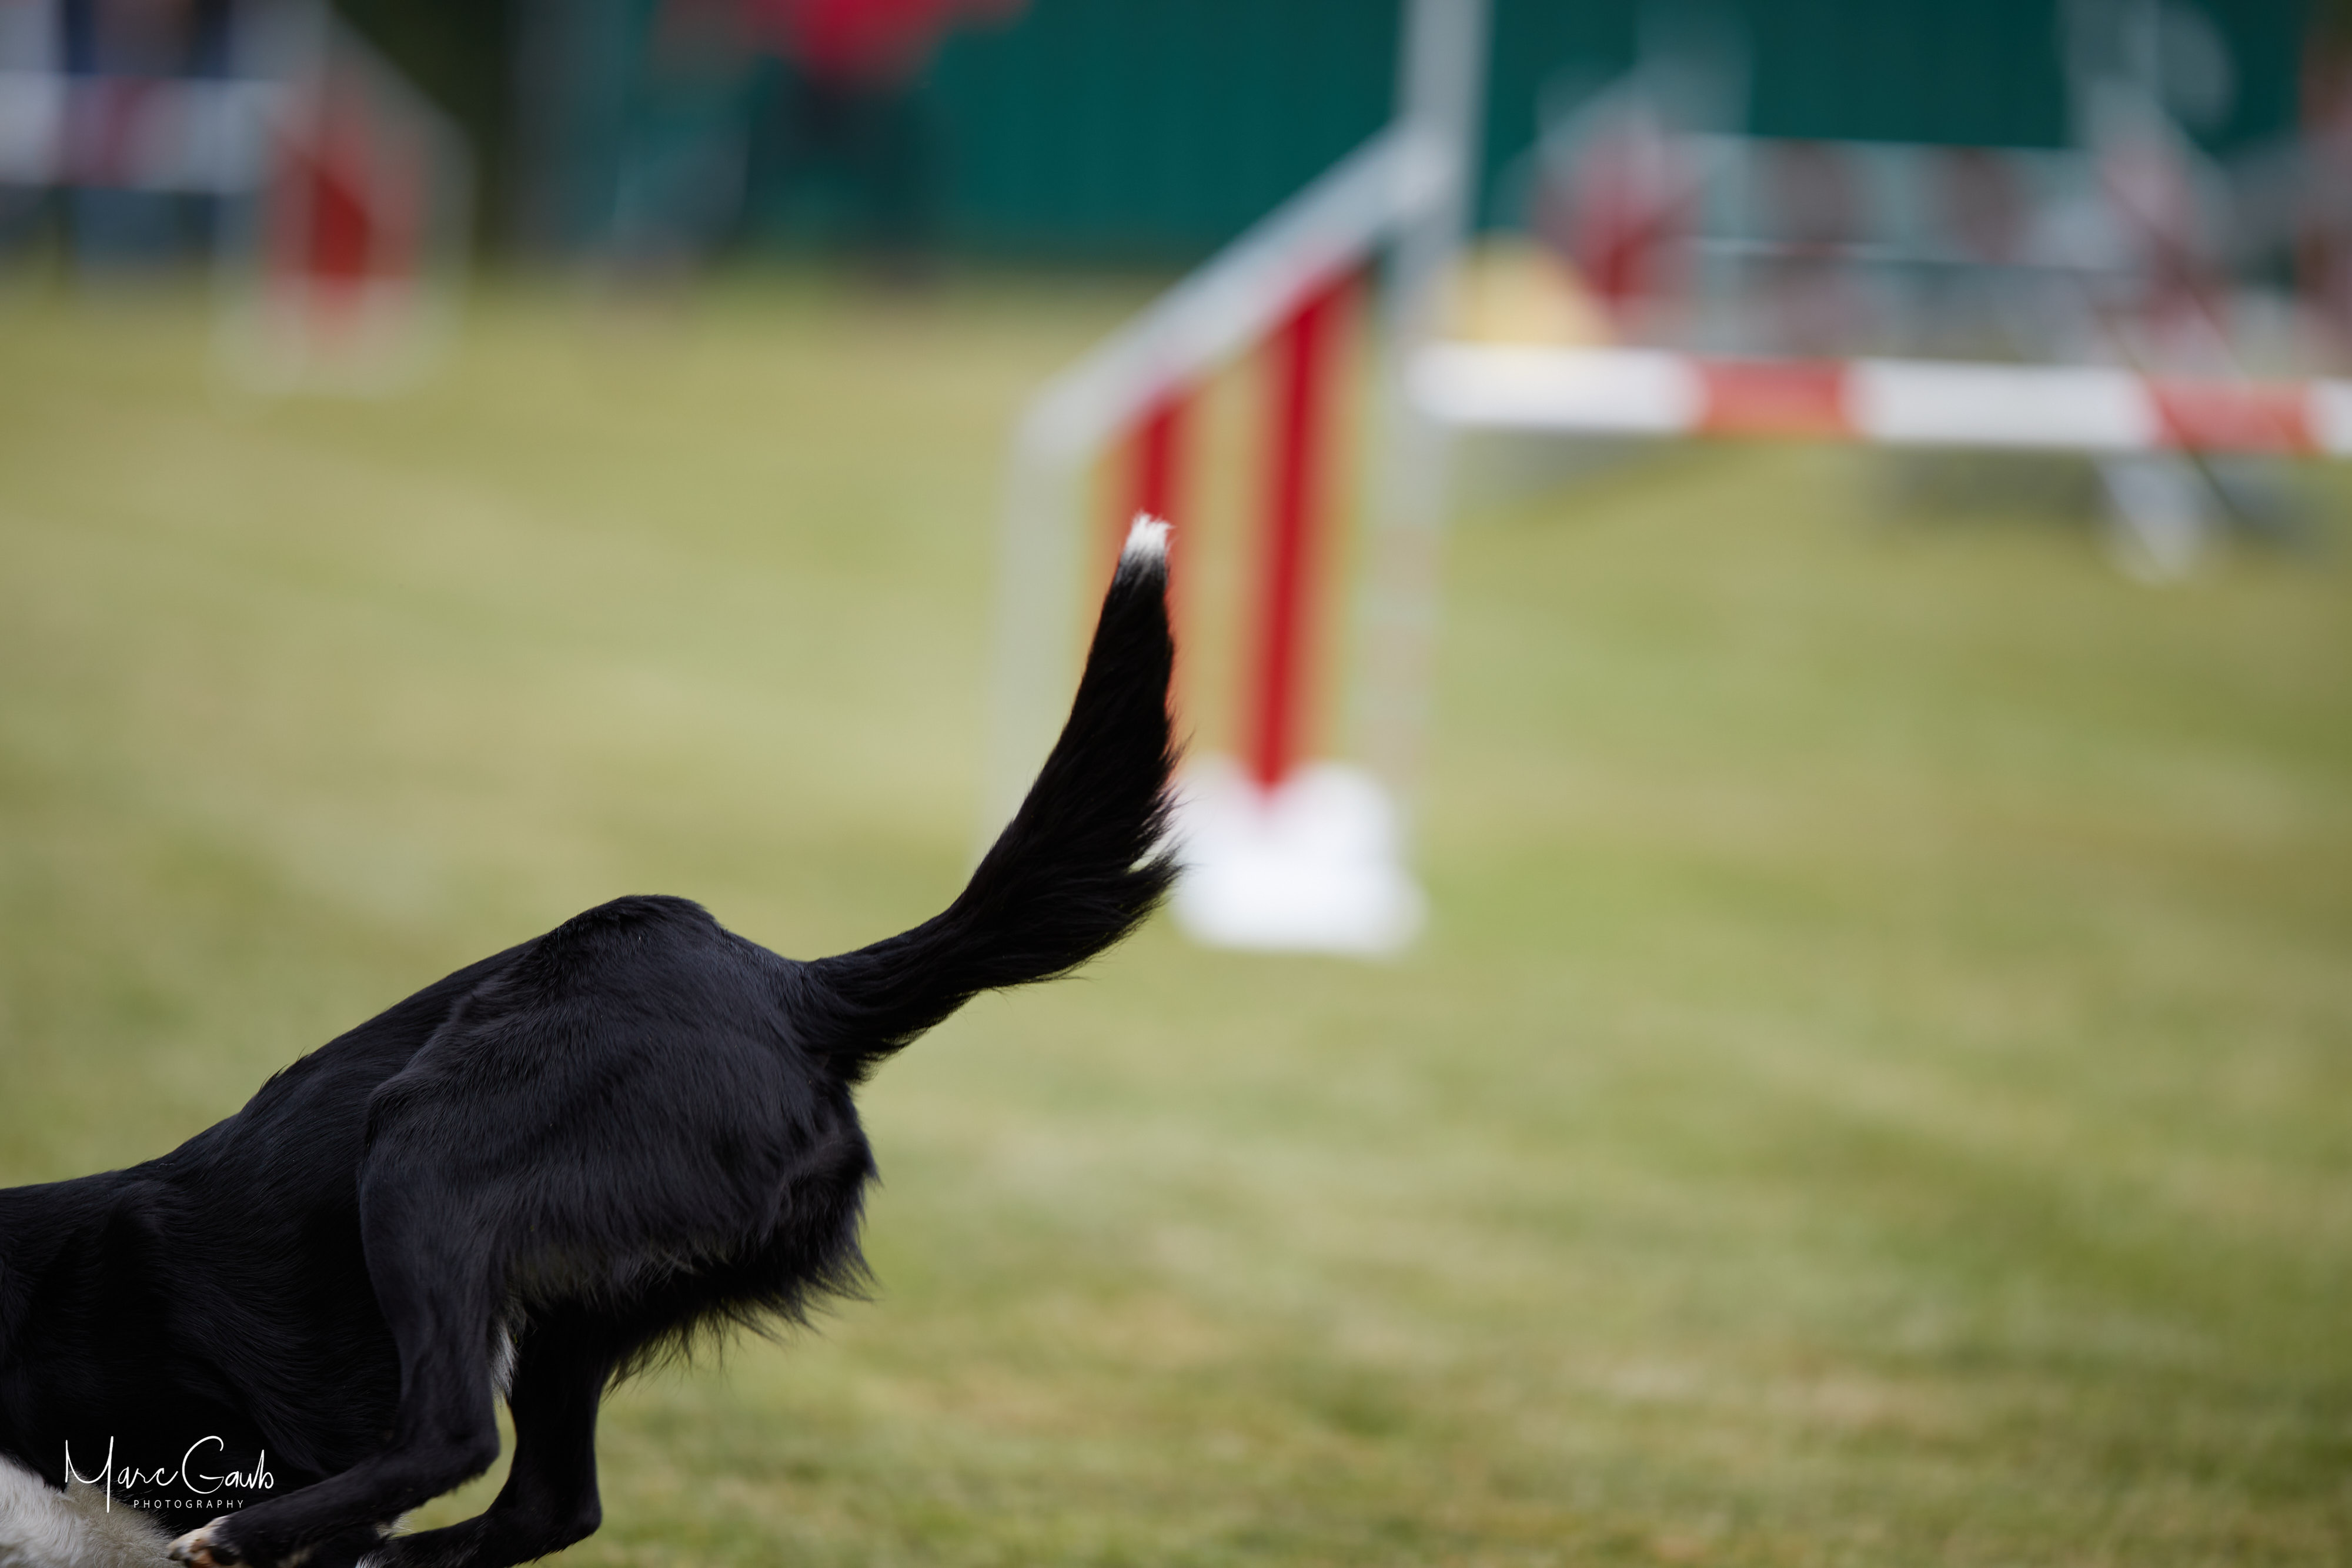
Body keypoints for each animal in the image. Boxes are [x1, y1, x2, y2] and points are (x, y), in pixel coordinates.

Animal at [0, 518, 1180, 1568]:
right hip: (576, 1298)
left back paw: (247, 1537)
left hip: (429, 1147)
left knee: (455, 1435)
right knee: (551, 1503)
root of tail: (793, 986)